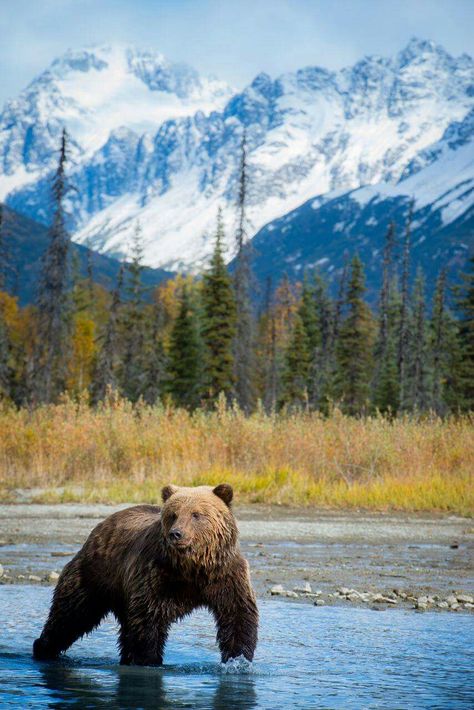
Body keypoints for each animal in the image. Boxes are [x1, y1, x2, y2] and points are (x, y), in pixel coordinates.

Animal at [32, 484, 260, 668]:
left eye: (196, 514)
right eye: (173, 514)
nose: (176, 534)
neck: (193, 567)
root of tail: (101, 526)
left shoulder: (224, 575)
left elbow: (238, 614)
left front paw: (238, 660)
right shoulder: (156, 575)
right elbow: (149, 618)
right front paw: (149, 660)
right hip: (95, 576)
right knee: (71, 614)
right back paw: (43, 648)